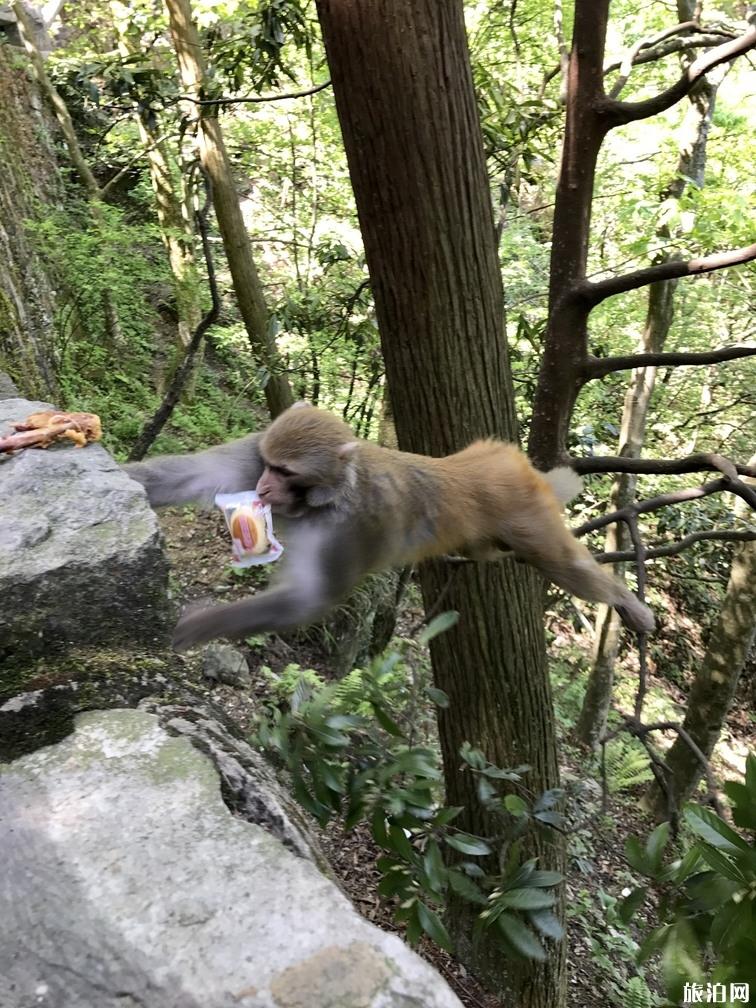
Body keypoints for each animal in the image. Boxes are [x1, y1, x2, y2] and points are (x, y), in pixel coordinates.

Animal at [121, 403, 653, 653]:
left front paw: (197, 626)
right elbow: (193, 475)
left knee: (564, 566)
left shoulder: (350, 530)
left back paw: (626, 602)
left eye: (287, 473)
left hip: (527, 514)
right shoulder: (253, 450)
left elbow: (309, 601)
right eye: (270, 464)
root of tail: (501, 463)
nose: (264, 488)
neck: (322, 500)